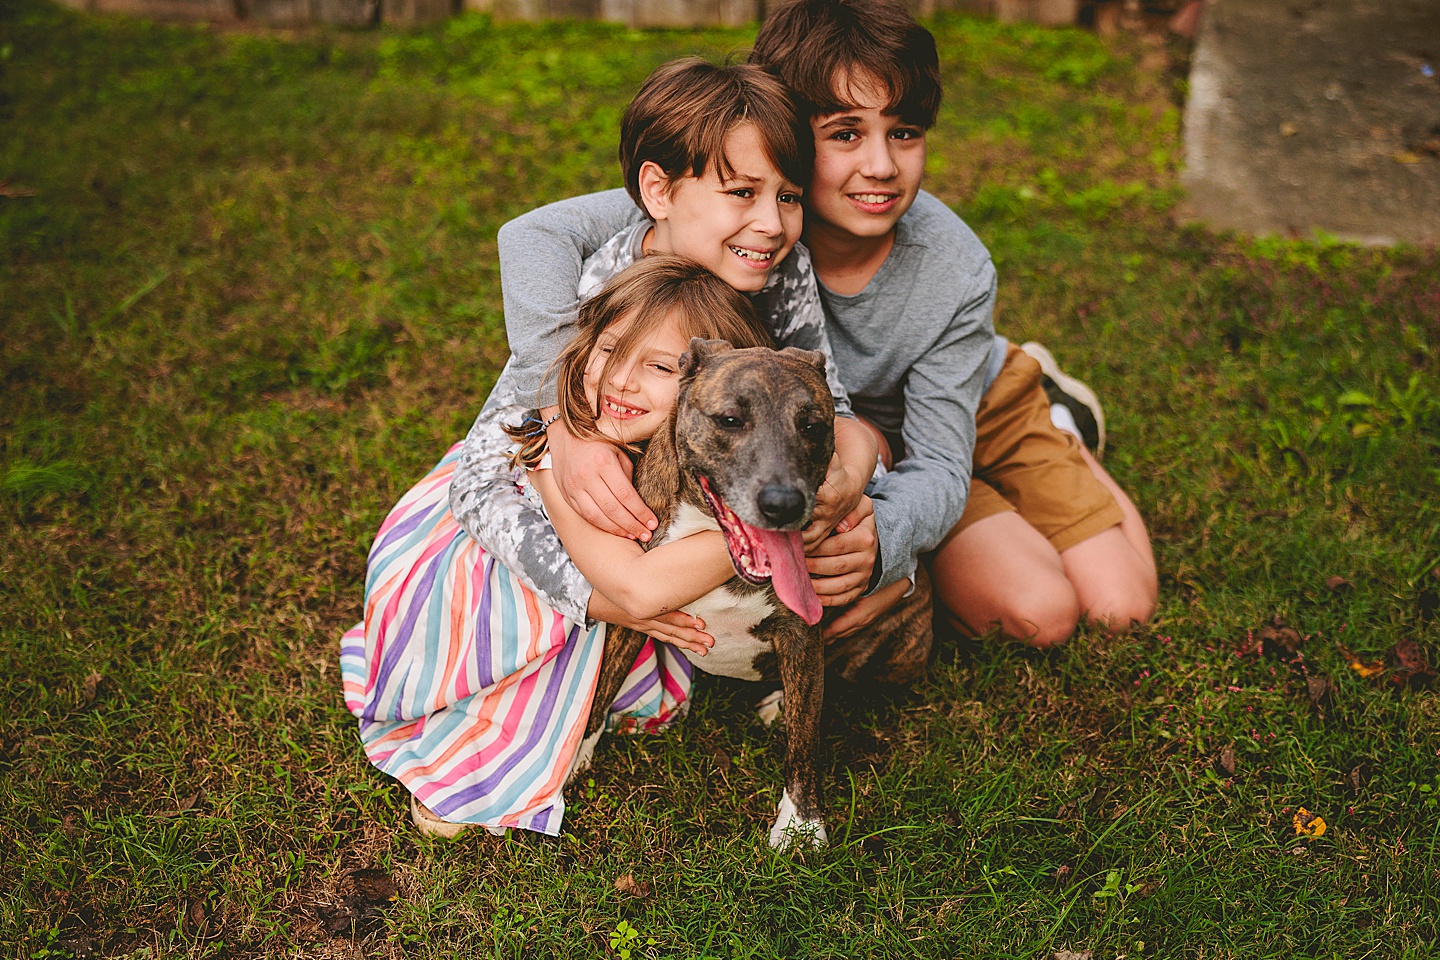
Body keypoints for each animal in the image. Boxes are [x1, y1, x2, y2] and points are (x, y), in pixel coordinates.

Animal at [581, 341, 933, 852]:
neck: (705, 538)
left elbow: (805, 742)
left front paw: (802, 825)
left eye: (813, 426)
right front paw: (572, 762)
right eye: (730, 419)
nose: (783, 504)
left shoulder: (802, 633)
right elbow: (600, 690)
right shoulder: (631, 614)